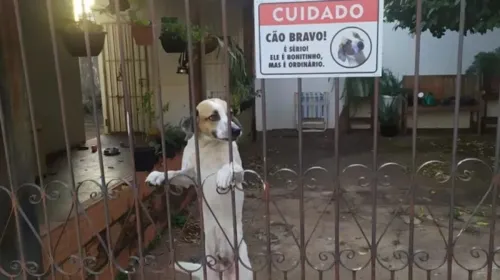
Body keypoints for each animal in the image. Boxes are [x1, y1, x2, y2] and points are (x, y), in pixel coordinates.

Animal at [145, 98, 254, 280]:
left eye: (230, 113)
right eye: (213, 117)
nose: (237, 130)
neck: (209, 145)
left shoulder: (239, 176)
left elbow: (230, 167)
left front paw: (223, 175)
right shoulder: (189, 177)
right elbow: (173, 173)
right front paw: (158, 176)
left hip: (242, 269)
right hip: (210, 270)